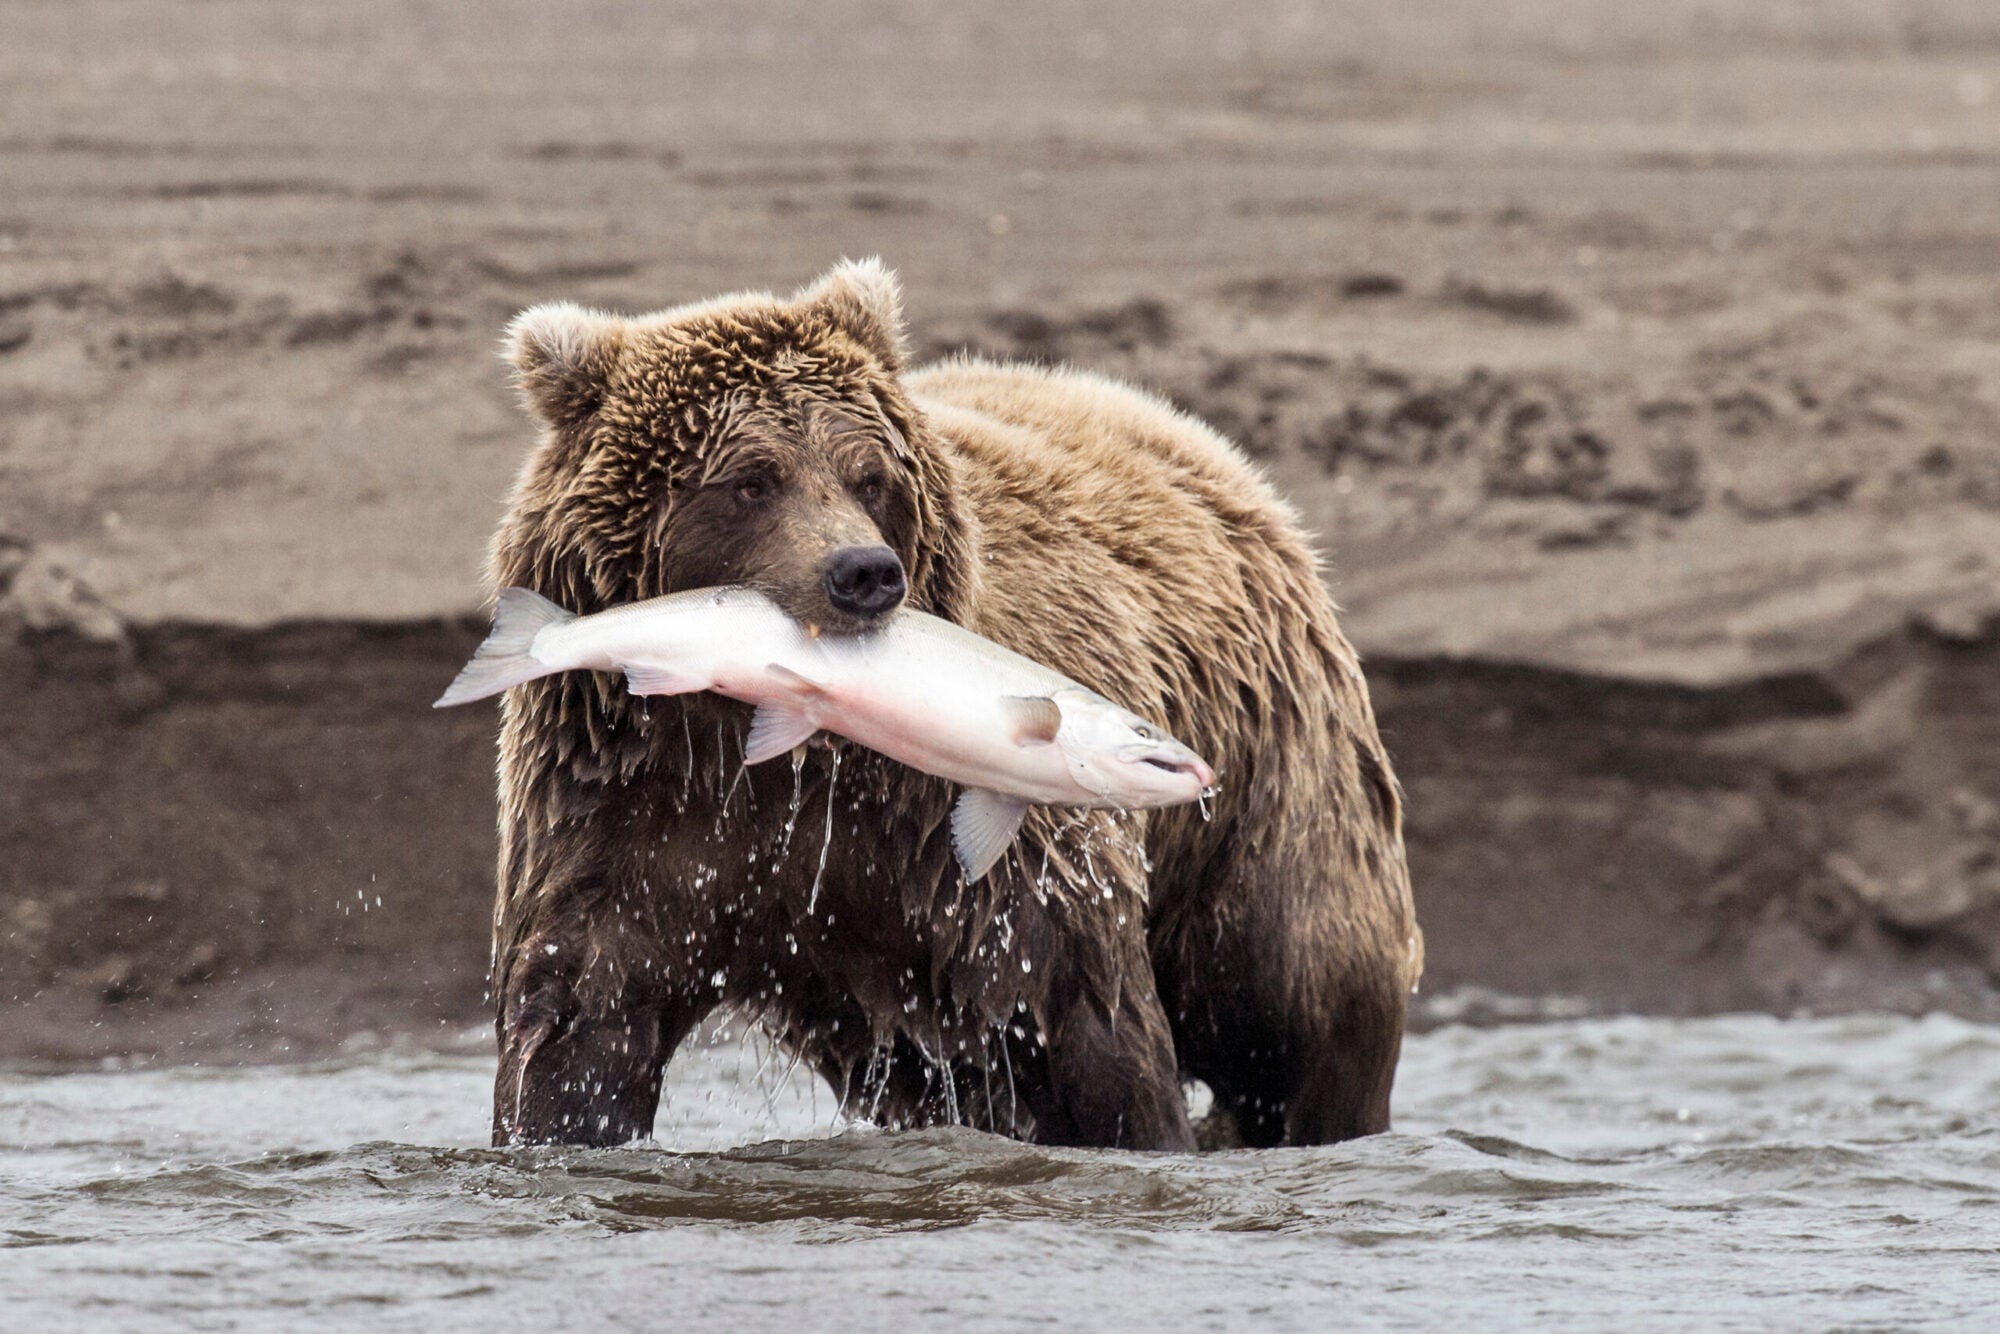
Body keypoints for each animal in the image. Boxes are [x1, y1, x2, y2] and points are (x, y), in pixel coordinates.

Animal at [482, 258, 1420, 1151]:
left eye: (868, 476)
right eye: (751, 480)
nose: (862, 572)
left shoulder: (966, 847)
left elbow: (1082, 1020)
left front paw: (1144, 1133)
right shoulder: (633, 808)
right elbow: (581, 1019)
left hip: (1270, 785)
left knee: (1297, 997)